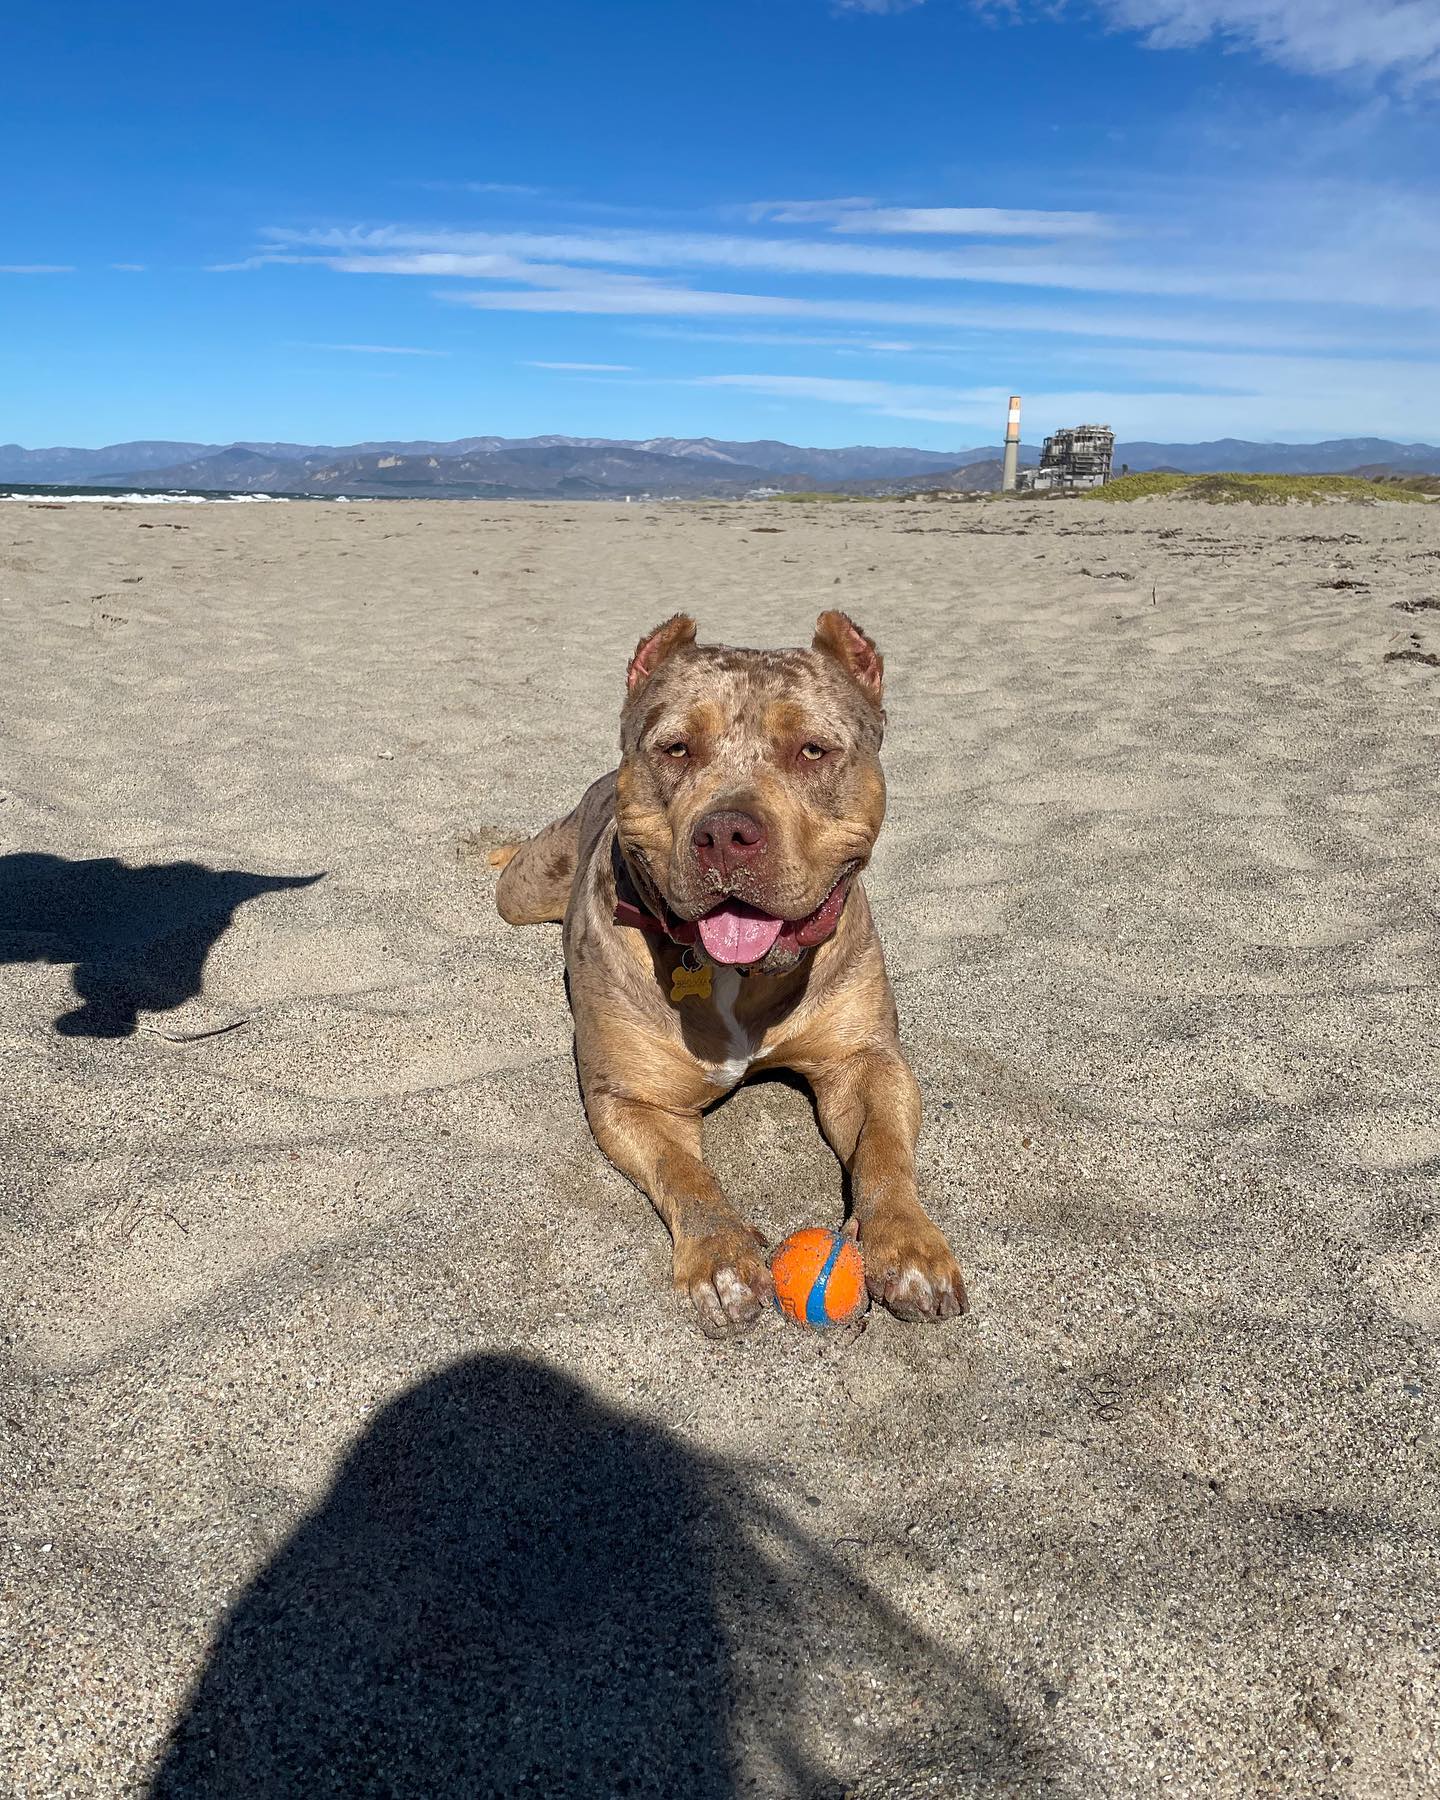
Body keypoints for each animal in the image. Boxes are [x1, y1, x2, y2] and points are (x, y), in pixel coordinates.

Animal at [496, 615, 964, 1339]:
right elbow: (686, 1174)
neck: (734, 971)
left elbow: (884, 1151)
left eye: (811, 750)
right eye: (677, 748)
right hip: (523, 891)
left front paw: (908, 1245)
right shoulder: (633, 1100)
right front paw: (719, 1258)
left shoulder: (865, 1061)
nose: (725, 833)